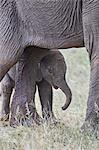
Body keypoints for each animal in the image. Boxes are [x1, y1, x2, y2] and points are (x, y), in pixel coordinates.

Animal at [0, 0, 98, 130]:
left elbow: (46, 89)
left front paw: (52, 123)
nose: (63, 107)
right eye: (50, 70)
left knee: (31, 54)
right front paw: (89, 131)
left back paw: (25, 123)